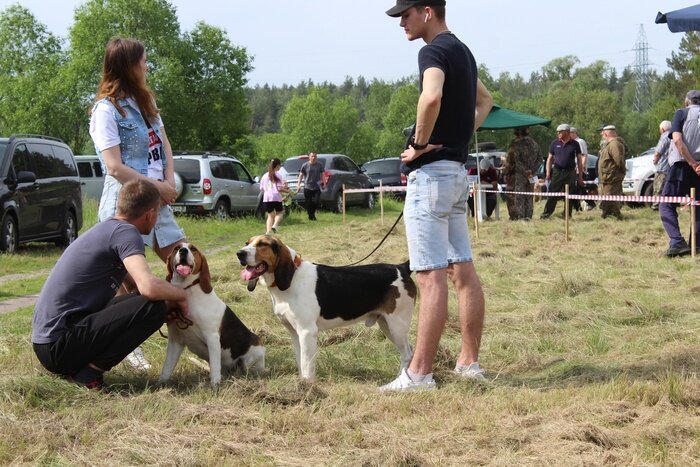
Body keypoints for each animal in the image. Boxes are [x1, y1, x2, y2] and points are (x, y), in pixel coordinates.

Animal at [159, 241, 266, 388]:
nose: (183, 251)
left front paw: (215, 385)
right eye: (176, 248)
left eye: (193, 249)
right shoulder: (175, 340)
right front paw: (161, 385)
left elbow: (215, 367)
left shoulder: (212, 337)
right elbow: (166, 368)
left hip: (255, 352)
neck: (186, 290)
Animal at [237, 236, 416, 382]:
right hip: (387, 325)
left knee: (406, 354)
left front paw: (307, 387)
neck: (292, 277)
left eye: (263, 244)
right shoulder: (295, 334)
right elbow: (300, 362)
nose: (239, 253)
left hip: (397, 325)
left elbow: (307, 364)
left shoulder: (307, 332)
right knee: (409, 351)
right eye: (247, 243)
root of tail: (401, 267)